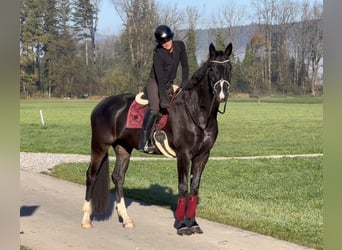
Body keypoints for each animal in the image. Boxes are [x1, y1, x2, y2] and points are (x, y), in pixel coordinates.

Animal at [81, 42, 234, 235]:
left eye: (229, 68)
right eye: (212, 69)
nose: (222, 93)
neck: (197, 113)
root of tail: (101, 105)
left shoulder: (202, 155)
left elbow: (194, 188)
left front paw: (193, 222)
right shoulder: (184, 155)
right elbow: (183, 186)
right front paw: (181, 225)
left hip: (123, 148)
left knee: (118, 178)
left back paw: (126, 219)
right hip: (99, 145)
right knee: (91, 175)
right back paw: (86, 219)